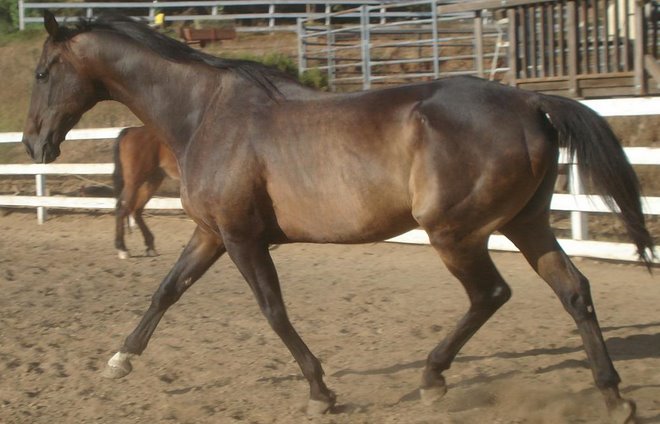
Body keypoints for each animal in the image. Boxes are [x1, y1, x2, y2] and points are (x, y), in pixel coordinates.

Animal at [112, 126, 178, 258]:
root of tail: (131, 130)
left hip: (152, 180)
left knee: (136, 209)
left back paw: (150, 246)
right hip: (134, 181)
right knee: (123, 208)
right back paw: (122, 248)